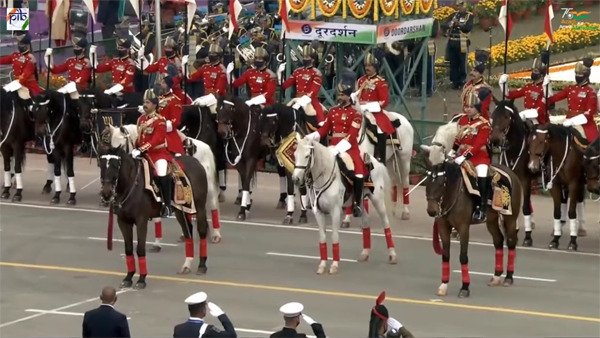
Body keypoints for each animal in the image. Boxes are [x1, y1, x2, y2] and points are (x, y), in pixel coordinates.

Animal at [99, 127, 211, 288]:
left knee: (201, 231)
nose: (106, 194)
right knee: (188, 233)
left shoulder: (141, 220)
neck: (131, 184)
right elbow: (128, 249)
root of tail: (196, 161)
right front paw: (128, 277)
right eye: (101, 164)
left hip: (200, 207)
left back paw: (202, 265)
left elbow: (140, 249)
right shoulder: (123, 221)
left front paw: (141, 279)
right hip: (181, 211)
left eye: (116, 165)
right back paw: (186, 265)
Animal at [292, 135, 398, 274]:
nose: (295, 179)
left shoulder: (336, 212)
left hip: (377, 200)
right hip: (360, 202)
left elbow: (335, 236)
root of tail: (376, 162)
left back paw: (392, 255)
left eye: (307, 156)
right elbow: (322, 238)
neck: (325, 174)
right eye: (294, 155)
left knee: (386, 224)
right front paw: (322, 264)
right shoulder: (319, 213)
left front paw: (334, 265)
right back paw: (365, 253)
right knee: (366, 222)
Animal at [424, 160, 524, 298]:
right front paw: (443, 285)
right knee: (498, 241)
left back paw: (508, 277)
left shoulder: (463, 228)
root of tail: (512, 173)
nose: (431, 211)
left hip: (510, 218)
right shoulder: (443, 228)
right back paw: (496, 276)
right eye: (427, 182)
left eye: (441, 183)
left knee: (511, 242)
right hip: (491, 220)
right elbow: (445, 256)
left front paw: (465, 287)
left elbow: (463, 257)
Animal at [488, 100, 540, 246]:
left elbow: (525, 207)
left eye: (507, 117)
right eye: (492, 116)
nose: (494, 140)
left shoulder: (525, 180)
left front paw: (528, 237)